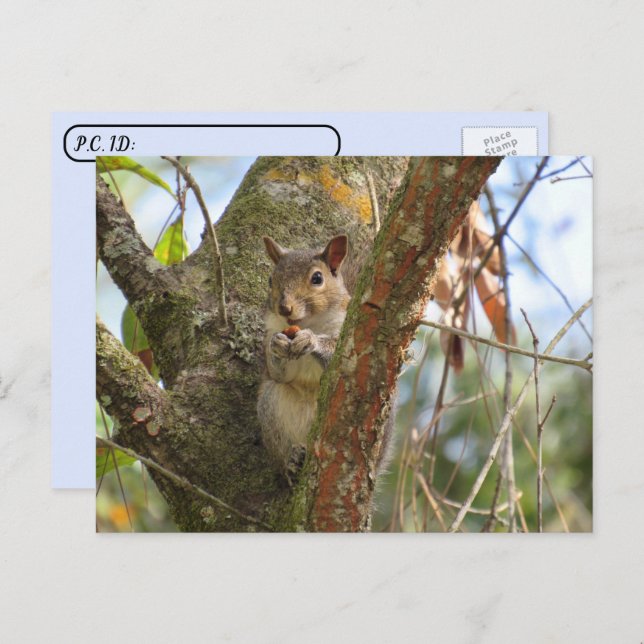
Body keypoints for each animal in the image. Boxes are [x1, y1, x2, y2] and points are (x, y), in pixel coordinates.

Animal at [257, 234, 394, 483]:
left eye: (317, 278)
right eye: (271, 280)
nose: (284, 308)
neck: (310, 322)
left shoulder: (350, 334)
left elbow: (337, 357)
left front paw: (311, 341)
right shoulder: (273, 331)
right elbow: (279, 373)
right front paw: (276, 345)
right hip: (271, 407)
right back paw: (293, 460)